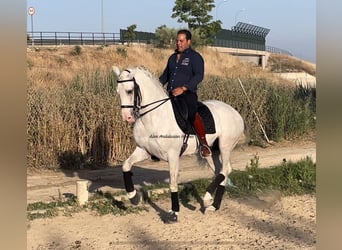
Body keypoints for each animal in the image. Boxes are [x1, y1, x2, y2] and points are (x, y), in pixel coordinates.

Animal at [114, 65, 246, 222]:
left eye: (129, 90)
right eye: (118, 91)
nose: (127, 117)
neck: (154, 117)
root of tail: (235, 112)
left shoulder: (172, 155)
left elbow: (172, 182)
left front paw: (174, 212)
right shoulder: (143, 150)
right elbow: (126, 165)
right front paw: (134, 198)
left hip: (225, 147)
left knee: (224, 170)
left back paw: (208, 197)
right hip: (211, 152)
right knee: (221, 171)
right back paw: (213, 205)